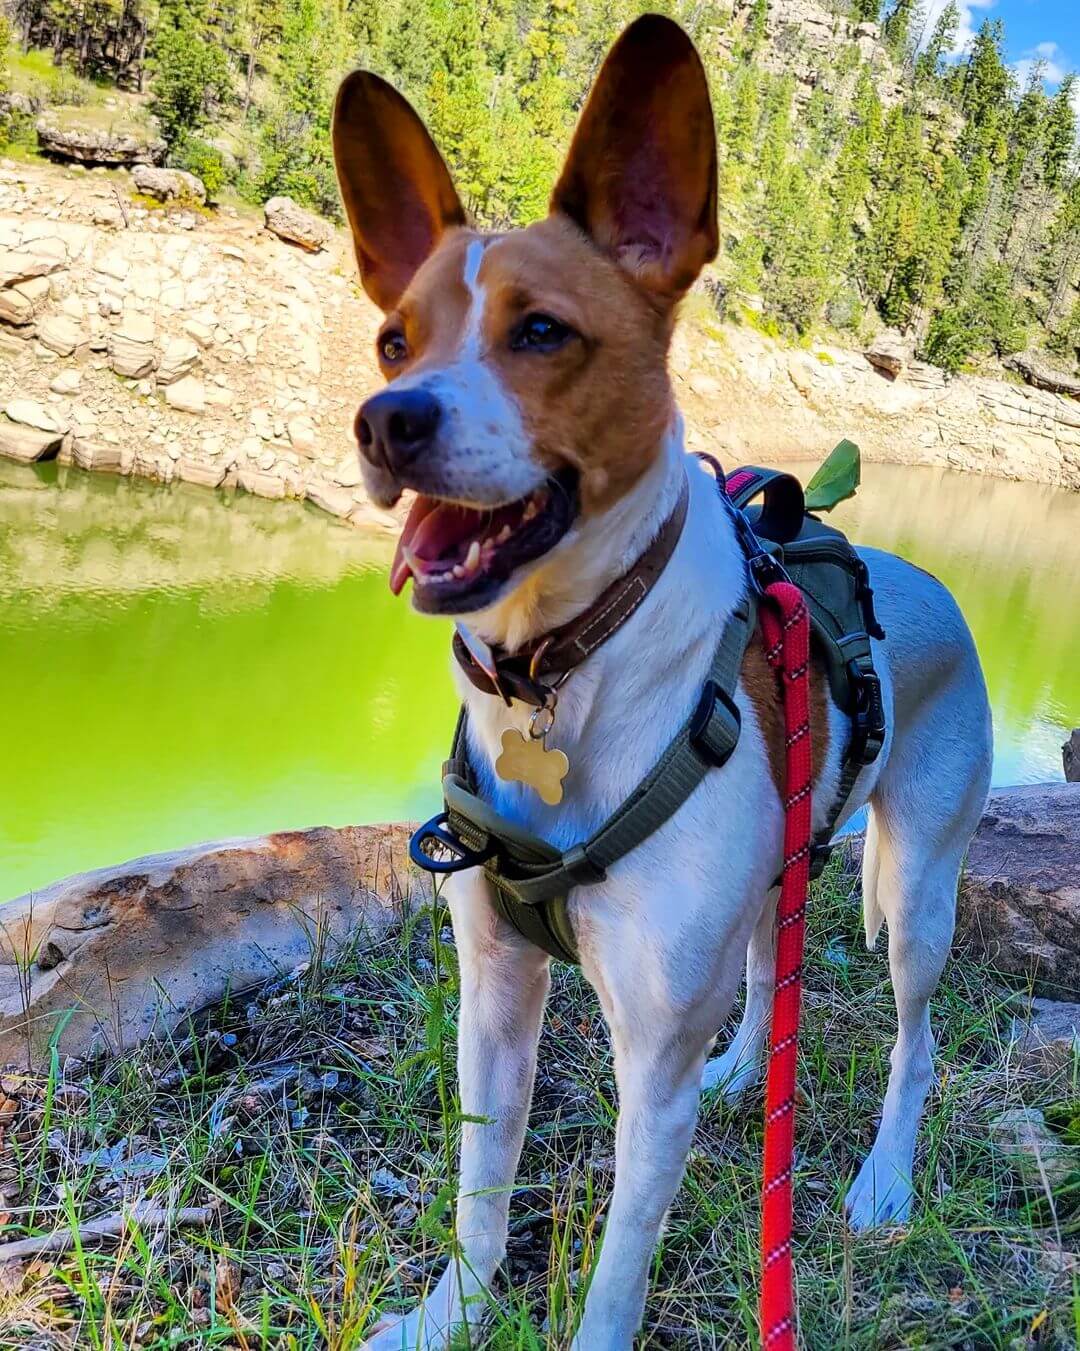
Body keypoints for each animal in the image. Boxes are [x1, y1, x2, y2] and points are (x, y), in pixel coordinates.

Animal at [333, 13, 994, 1351]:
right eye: (393, 340)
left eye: (542, 332)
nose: (387, 418)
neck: (563, 674)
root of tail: (932, 584)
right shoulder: (495, 993)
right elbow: (481, 1186)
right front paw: (451, 1313)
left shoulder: (647, 1062)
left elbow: (619, 1262)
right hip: (783, 857)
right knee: (764, 967)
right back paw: (744, 1067)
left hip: (923, 891)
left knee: (915, 1036)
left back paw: (886, 1177)